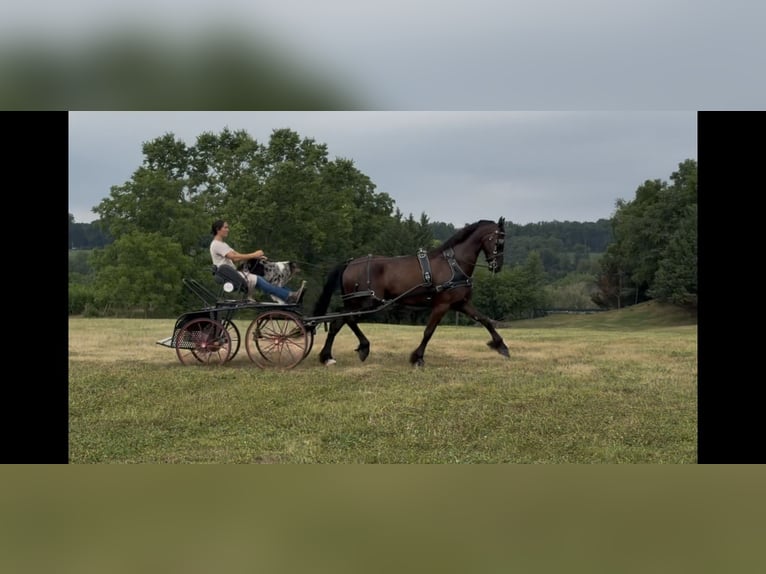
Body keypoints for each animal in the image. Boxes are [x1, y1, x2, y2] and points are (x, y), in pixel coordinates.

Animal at [311, 217, 509, 367]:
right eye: (499, 241)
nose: (498, 266)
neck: (453, 264)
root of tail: (350, 263)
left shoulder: (461, 303)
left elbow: (485, 320)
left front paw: (501, 346)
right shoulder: (442, 305)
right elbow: (429, 331)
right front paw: (417, 357)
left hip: (356, 303)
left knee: (337, 323)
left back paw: (328, 356)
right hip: (366, 302)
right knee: (347, 319)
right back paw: (362, 347)